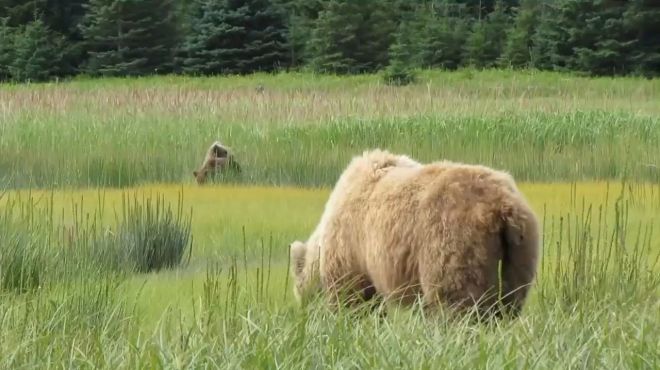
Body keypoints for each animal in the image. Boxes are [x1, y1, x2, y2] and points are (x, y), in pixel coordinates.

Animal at [292, 148, 540, 318]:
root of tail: (503, 207)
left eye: (300, 294)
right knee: (509, 301)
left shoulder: (351, 248)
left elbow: (354, 299)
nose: (304, 316)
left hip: (453, 241)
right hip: (519, 250)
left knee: (456, 302)